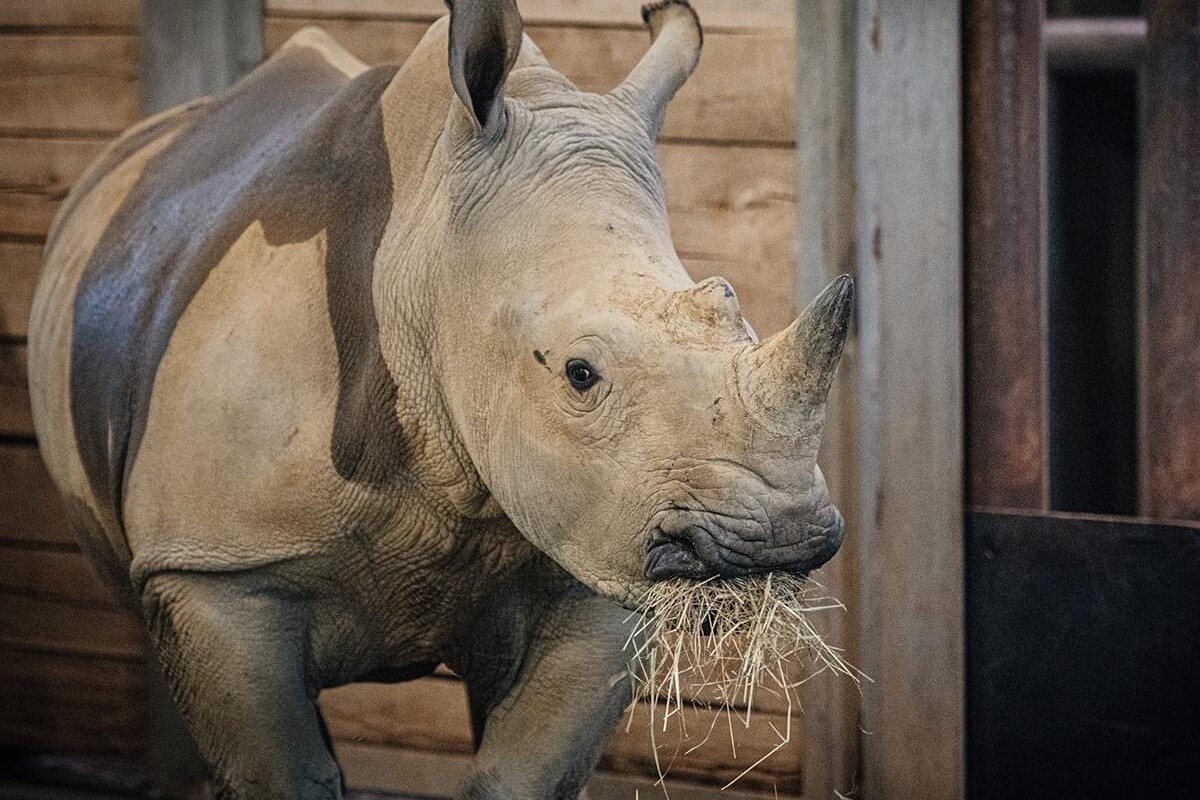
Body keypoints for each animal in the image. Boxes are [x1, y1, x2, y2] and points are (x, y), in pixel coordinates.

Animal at [28, 3, 854, 796]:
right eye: (580, 374)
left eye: (732, 311)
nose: (782, 540)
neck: (427, 256)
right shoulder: (215, 569)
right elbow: (281, 772)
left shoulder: (594, 554)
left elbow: (525, 773)